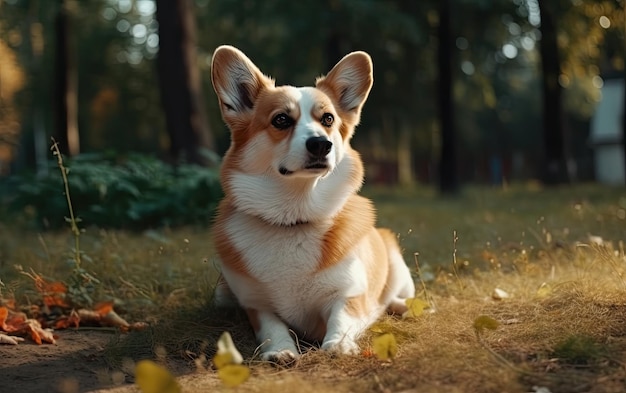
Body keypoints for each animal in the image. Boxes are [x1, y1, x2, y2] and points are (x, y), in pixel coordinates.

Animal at [210, 46, 414, 364]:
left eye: (328, 119)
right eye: (281, 120)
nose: (321, 144)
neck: (295, 216)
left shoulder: (350, 292)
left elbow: (342, 316)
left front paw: (338, 344)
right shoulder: (255, 304)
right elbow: (271, 325)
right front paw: (280, 350)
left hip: (399, 270)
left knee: (394, 296)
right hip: (221, 294)